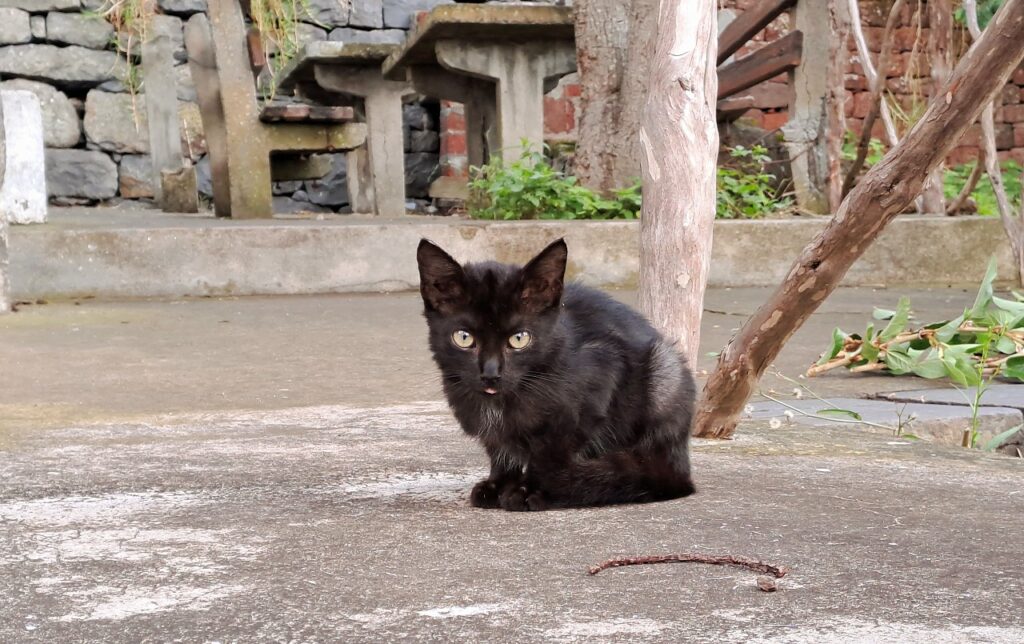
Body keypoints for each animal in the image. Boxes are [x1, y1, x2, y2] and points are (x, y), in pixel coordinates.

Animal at [415, 238, 696, 509]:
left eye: (519, 338)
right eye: (463, 338)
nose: (491, 373)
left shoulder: (600, 379)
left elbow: (550, 455)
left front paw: (531, 490)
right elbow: (499, 448)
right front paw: (498, 484)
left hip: (664, 368)